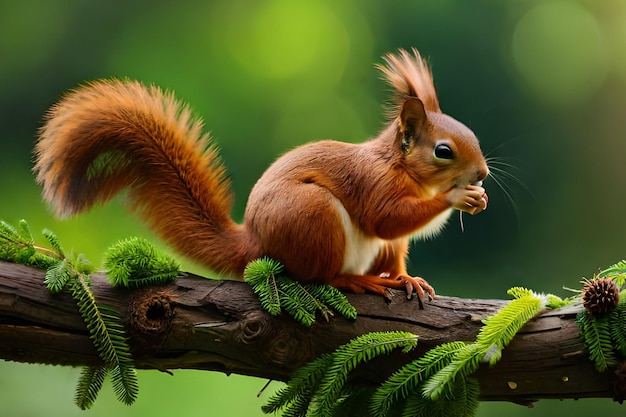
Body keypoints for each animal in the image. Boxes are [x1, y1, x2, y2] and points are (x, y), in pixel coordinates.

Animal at [34, 48, 488, 302]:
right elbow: (387, 218)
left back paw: (394, 279)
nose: (482, 174)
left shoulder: (392, 229)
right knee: (319, 276)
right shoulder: (374, 185)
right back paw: (355, 282)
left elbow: (397, 240)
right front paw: (457, 197)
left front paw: (409, 276)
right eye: (443, 151)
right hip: (314, 215)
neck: (399, 166)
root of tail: (254, 244)